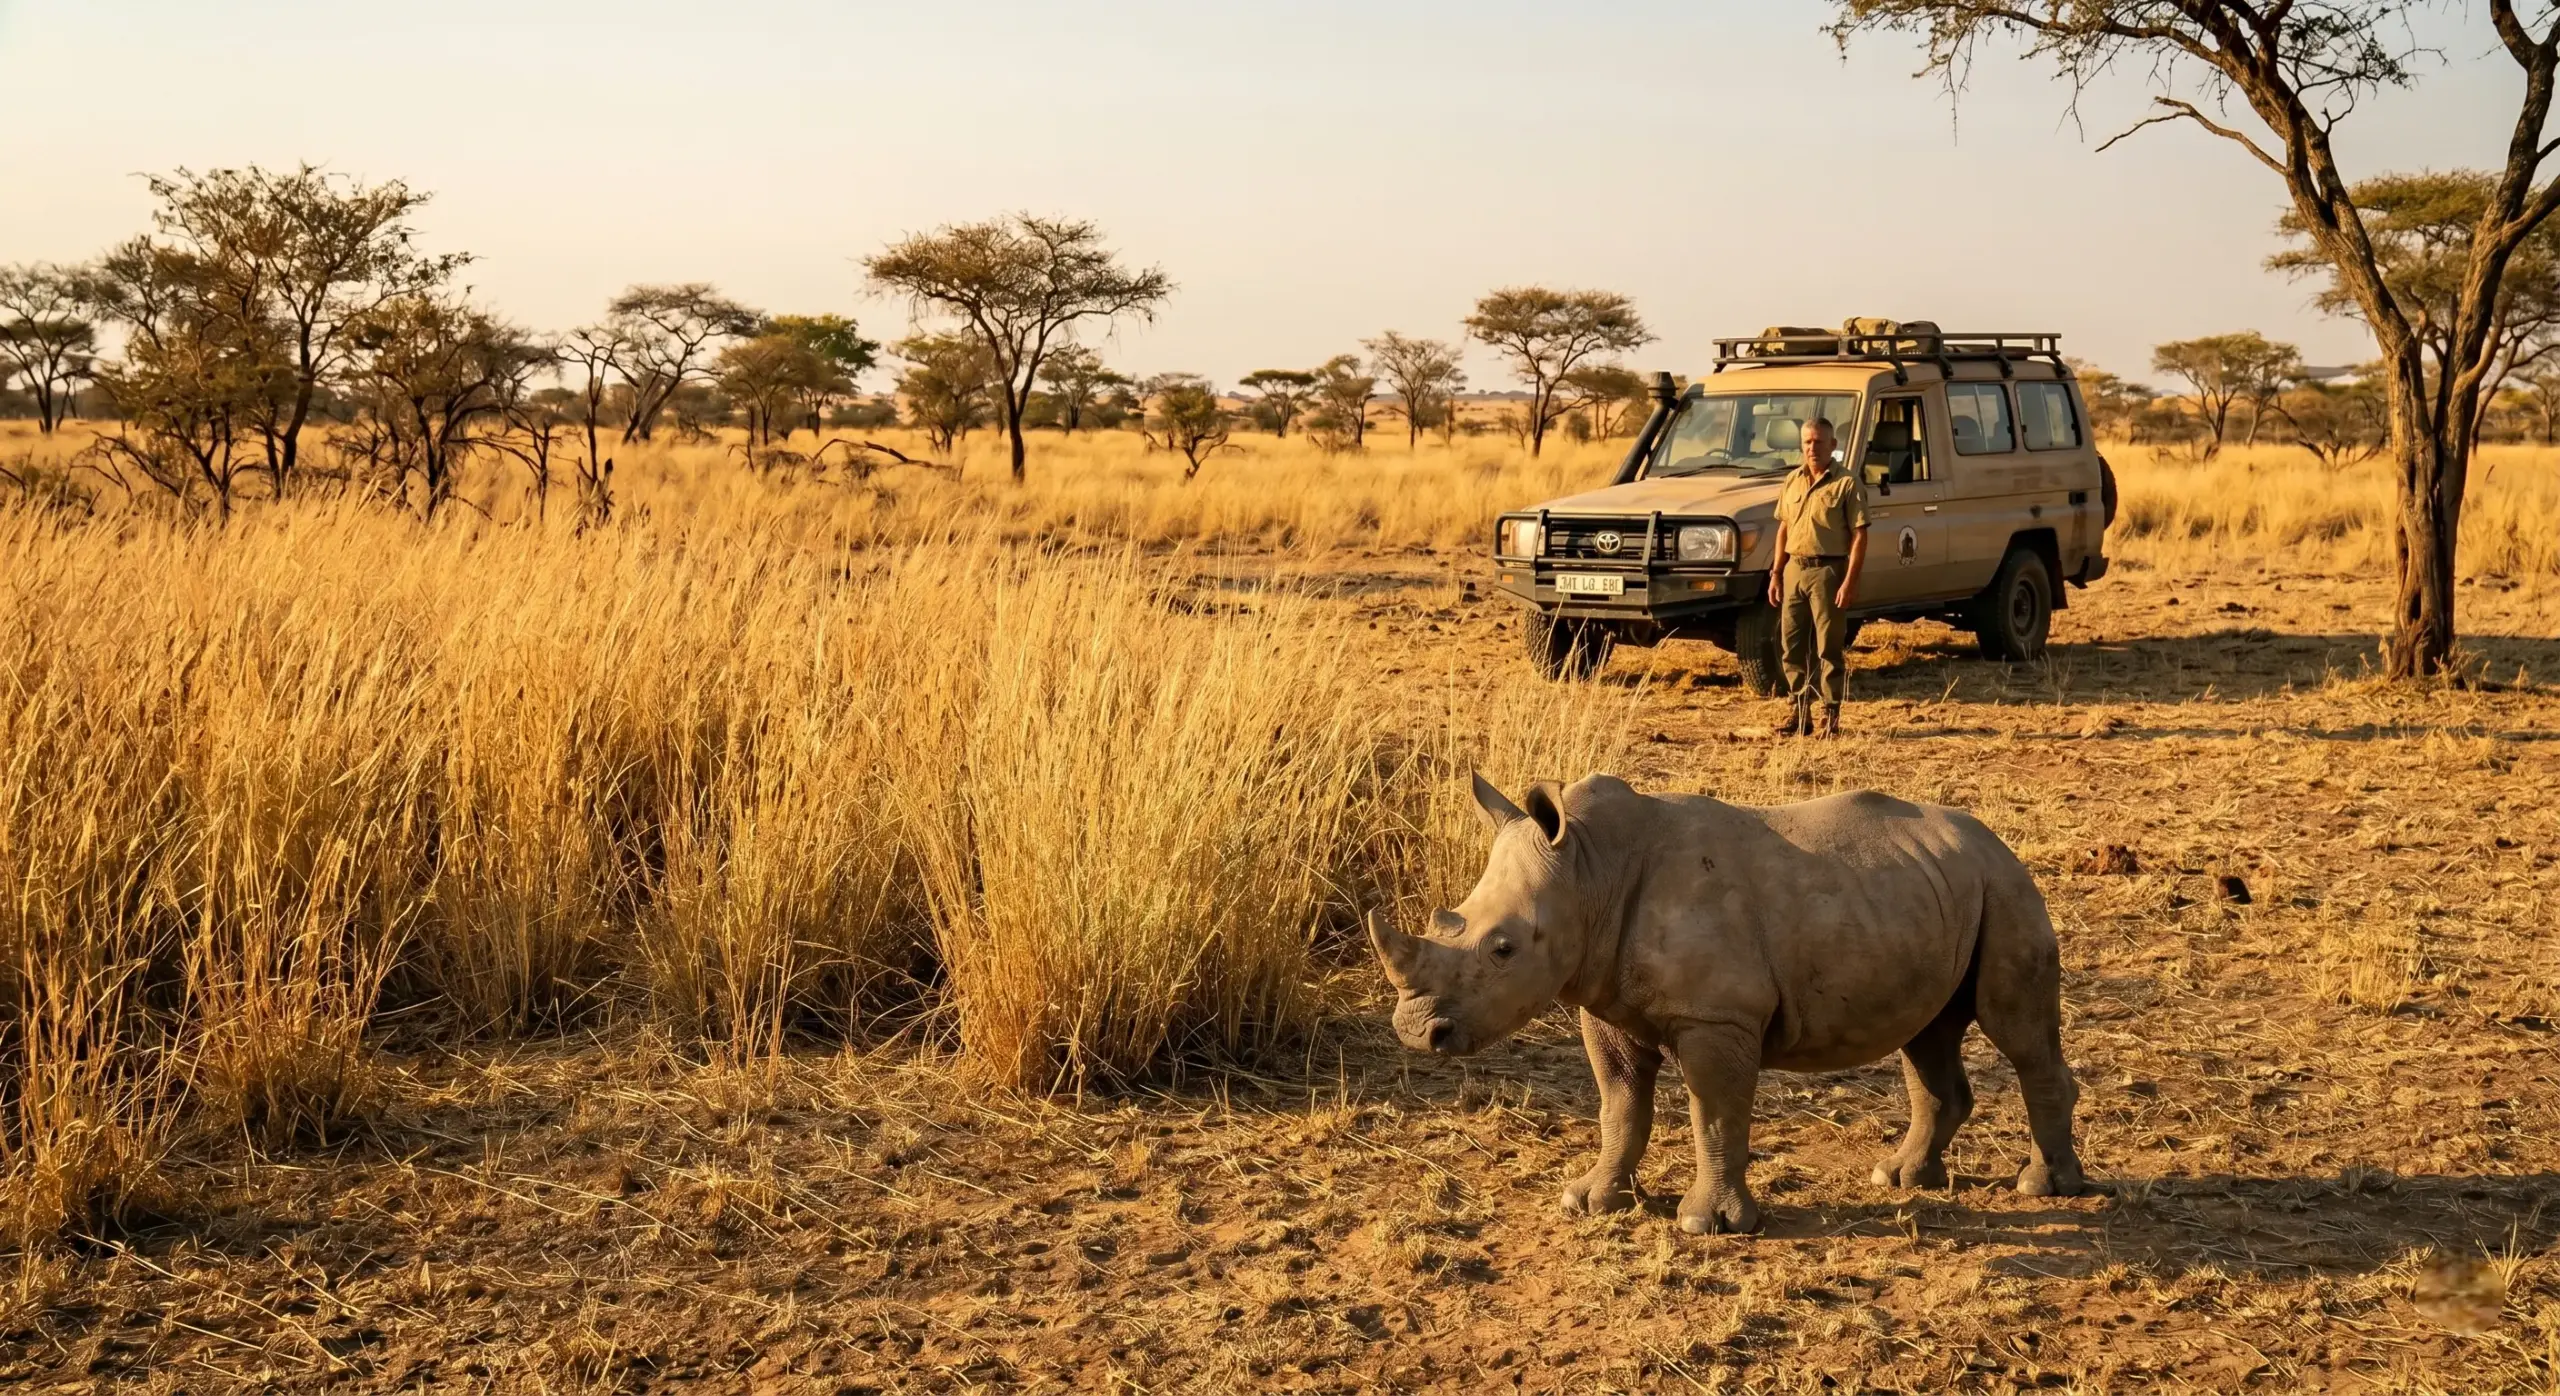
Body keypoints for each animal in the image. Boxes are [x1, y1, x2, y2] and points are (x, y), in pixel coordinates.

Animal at [1369, 773, 2087, 1234]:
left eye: (1504, 949)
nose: (1415, 1031)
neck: (1589, 870)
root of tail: (1996, 840)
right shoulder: (1604, 1003)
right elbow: (1620, 1107)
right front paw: (1590, 1201)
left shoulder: (1717, 1017)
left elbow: (1714, 1114)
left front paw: (1705, 1224)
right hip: (1936, 891)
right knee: (1928, 1033)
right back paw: (1900, 1178)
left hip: (2007, 887)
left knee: (2016, 1032)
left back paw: (2044, 1187)